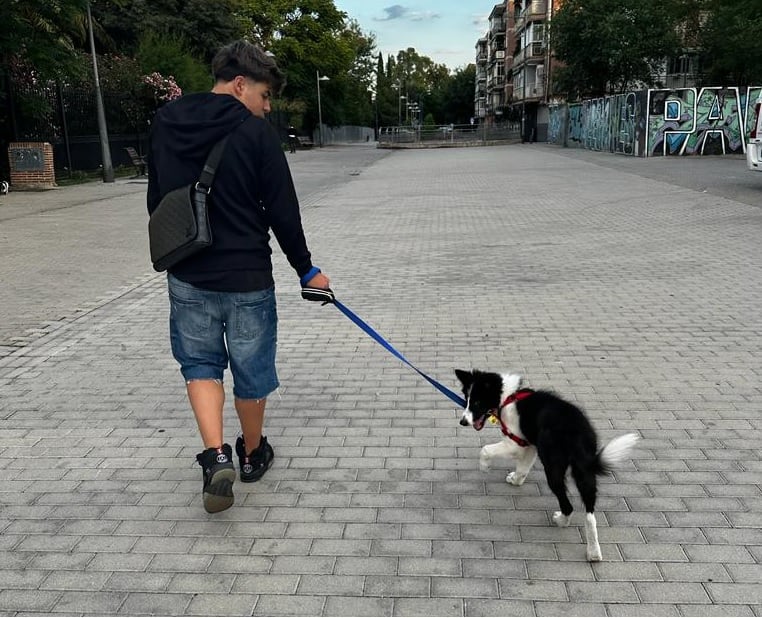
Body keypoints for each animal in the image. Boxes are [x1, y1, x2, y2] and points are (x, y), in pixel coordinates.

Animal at [454, 368, 640, 560]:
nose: (463, 422)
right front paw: (516, 480)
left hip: (553, 467)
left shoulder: (515, 442)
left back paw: (561, 521)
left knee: (567, 504)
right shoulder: (528, 444)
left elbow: (485, 450)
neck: (507, 397)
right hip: (584, 471)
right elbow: (523, 468)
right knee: (589, 513)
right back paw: (594, 553)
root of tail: (576, 432)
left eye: (477, 402)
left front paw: (485, 467)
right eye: (467, 399)